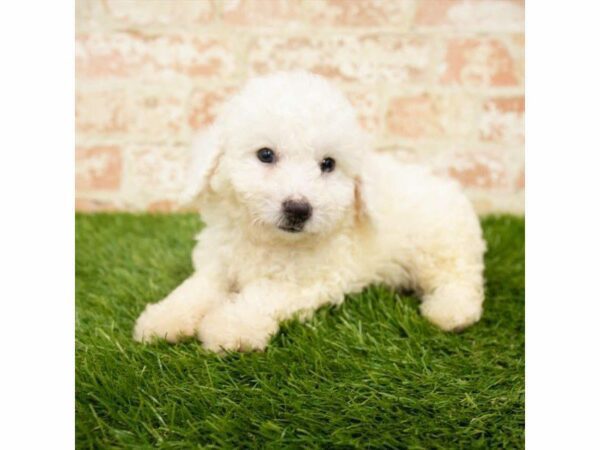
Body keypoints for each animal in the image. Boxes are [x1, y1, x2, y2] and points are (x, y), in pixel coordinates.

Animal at [134, 71, 486, 352]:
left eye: (328, 164)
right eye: (265, 154)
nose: (298, 209)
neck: (268, 239)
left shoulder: (314, 279)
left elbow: (264, 294)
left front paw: (230, 327)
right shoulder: (219, 264)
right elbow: (196, 289)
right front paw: (164, 318)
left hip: (441, 247)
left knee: (462, 279)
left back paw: (451, 311)